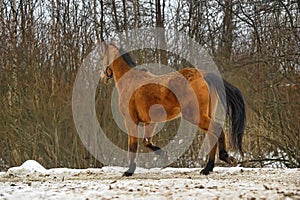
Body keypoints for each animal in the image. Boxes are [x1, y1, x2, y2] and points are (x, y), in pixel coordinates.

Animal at [99, 41, 245, 176]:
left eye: (103, 57)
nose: (103, 76)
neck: (130, 82)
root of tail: (203, 75)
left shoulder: (131, 121)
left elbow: (133, 146)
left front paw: (129, 171)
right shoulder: (150, 122)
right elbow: (146, 142)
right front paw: (163, 153)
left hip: (195, 115)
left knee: (216, 129)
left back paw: (224, 157)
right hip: (206, 114)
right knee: (212, 135)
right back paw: (208, 168)